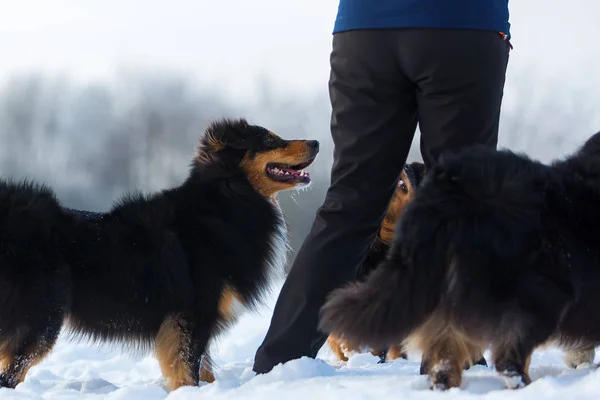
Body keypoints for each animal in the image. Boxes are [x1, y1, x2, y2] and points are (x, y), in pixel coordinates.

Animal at [0, 118, 318, 390]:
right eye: (269, 139)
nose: (316, 141)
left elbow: (203, 370)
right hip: (41, 320)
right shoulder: (192, 315)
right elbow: (189, 369)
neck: (228, 200)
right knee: (12, 373)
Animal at [322, 131, 600, 390]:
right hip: (540, 292)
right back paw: (523, 385)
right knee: (509, 353)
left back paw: (445, 382)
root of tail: (452, 191)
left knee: (445, 346)